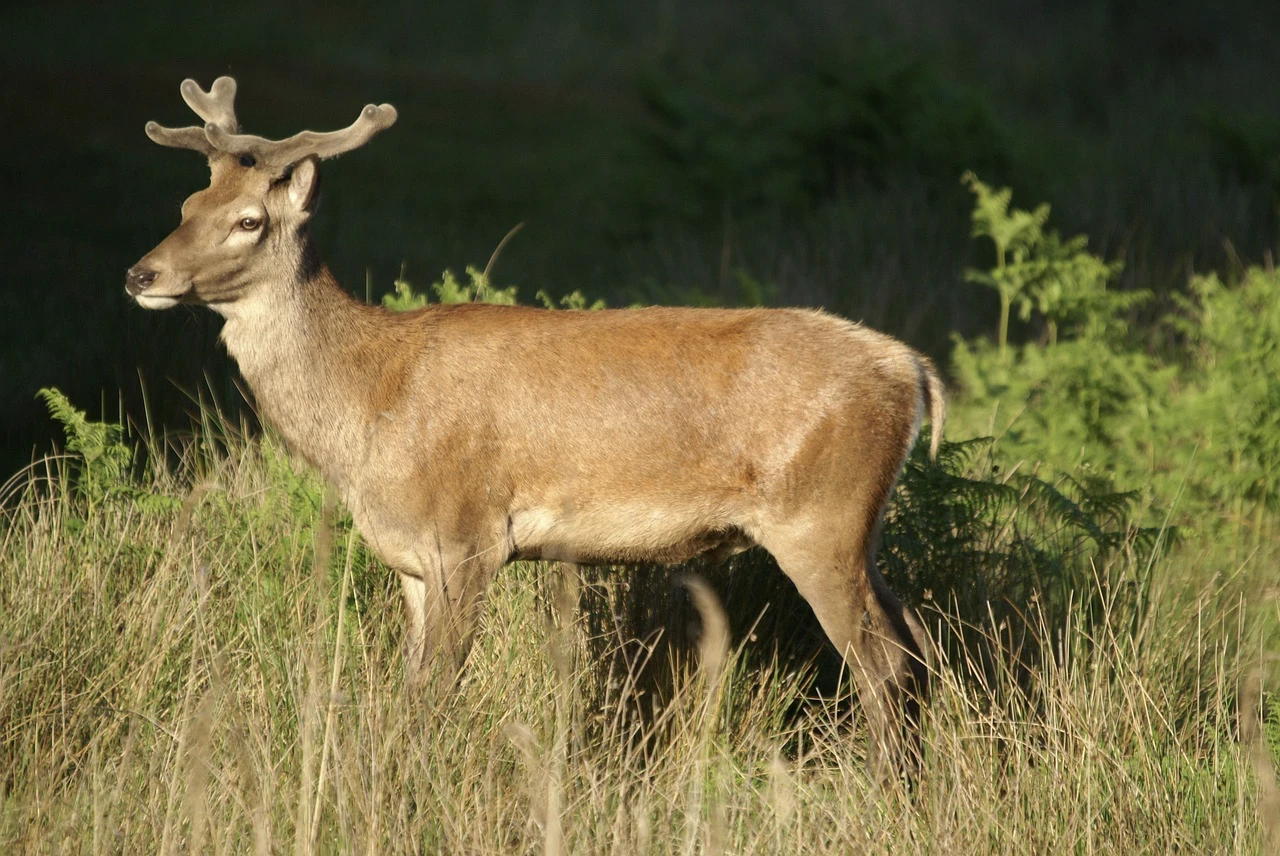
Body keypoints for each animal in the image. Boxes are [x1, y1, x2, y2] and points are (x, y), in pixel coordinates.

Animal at [129, 79, 947, 783]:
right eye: (188, 201)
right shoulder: (411, 560)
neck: (370, 402)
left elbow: (437, 690)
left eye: (249, 221)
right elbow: (407, 688)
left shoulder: (467, 535)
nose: (142, 275)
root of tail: (913, 371)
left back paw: (883, 790)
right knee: (917, 641)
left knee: (882, 663)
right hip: (856, 528)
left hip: (818, 518)